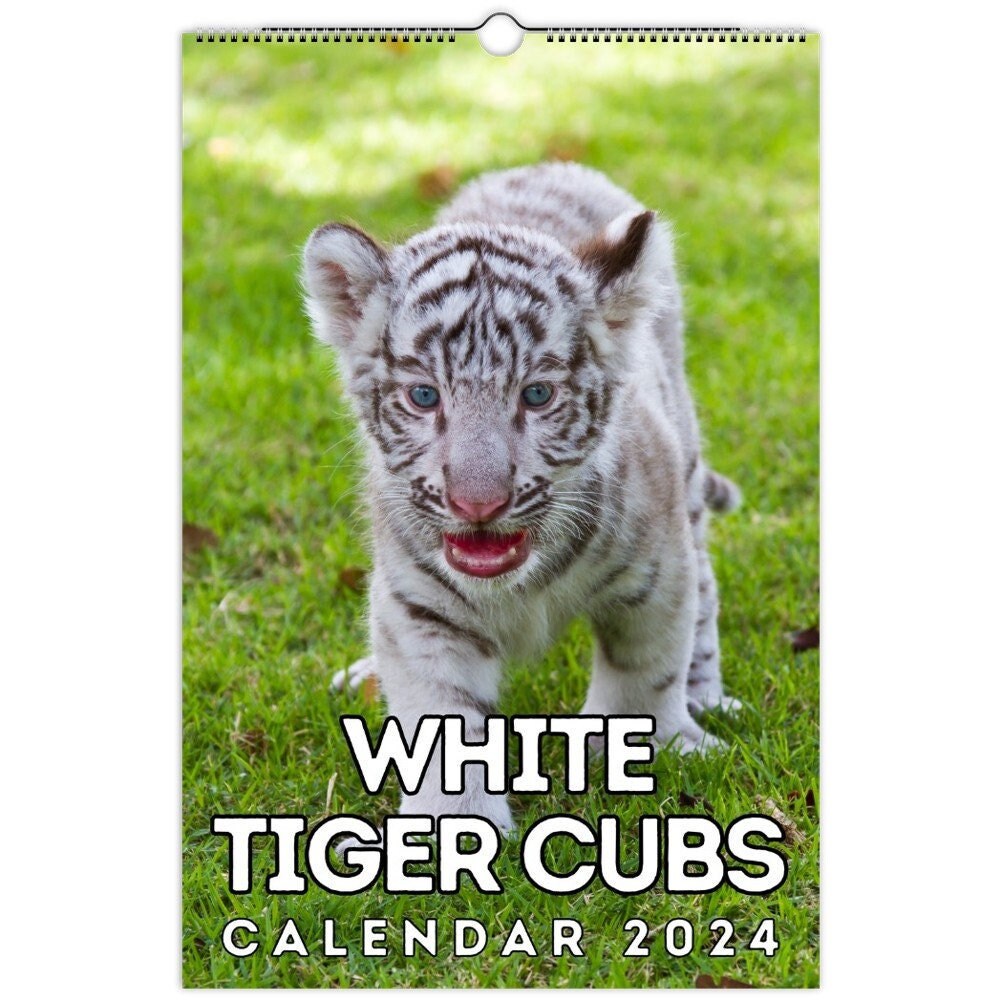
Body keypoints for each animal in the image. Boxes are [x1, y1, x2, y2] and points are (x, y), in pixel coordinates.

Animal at [302, 162, 741, 834]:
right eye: (424, 397)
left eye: (536, 395)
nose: (477, 504)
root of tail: (549, 165)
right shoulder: (420, 604)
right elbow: (439, 717)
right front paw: (453, 826)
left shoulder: (659, 567)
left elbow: (648, 672)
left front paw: (661, 746)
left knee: (706, 598)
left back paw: (708, 698)